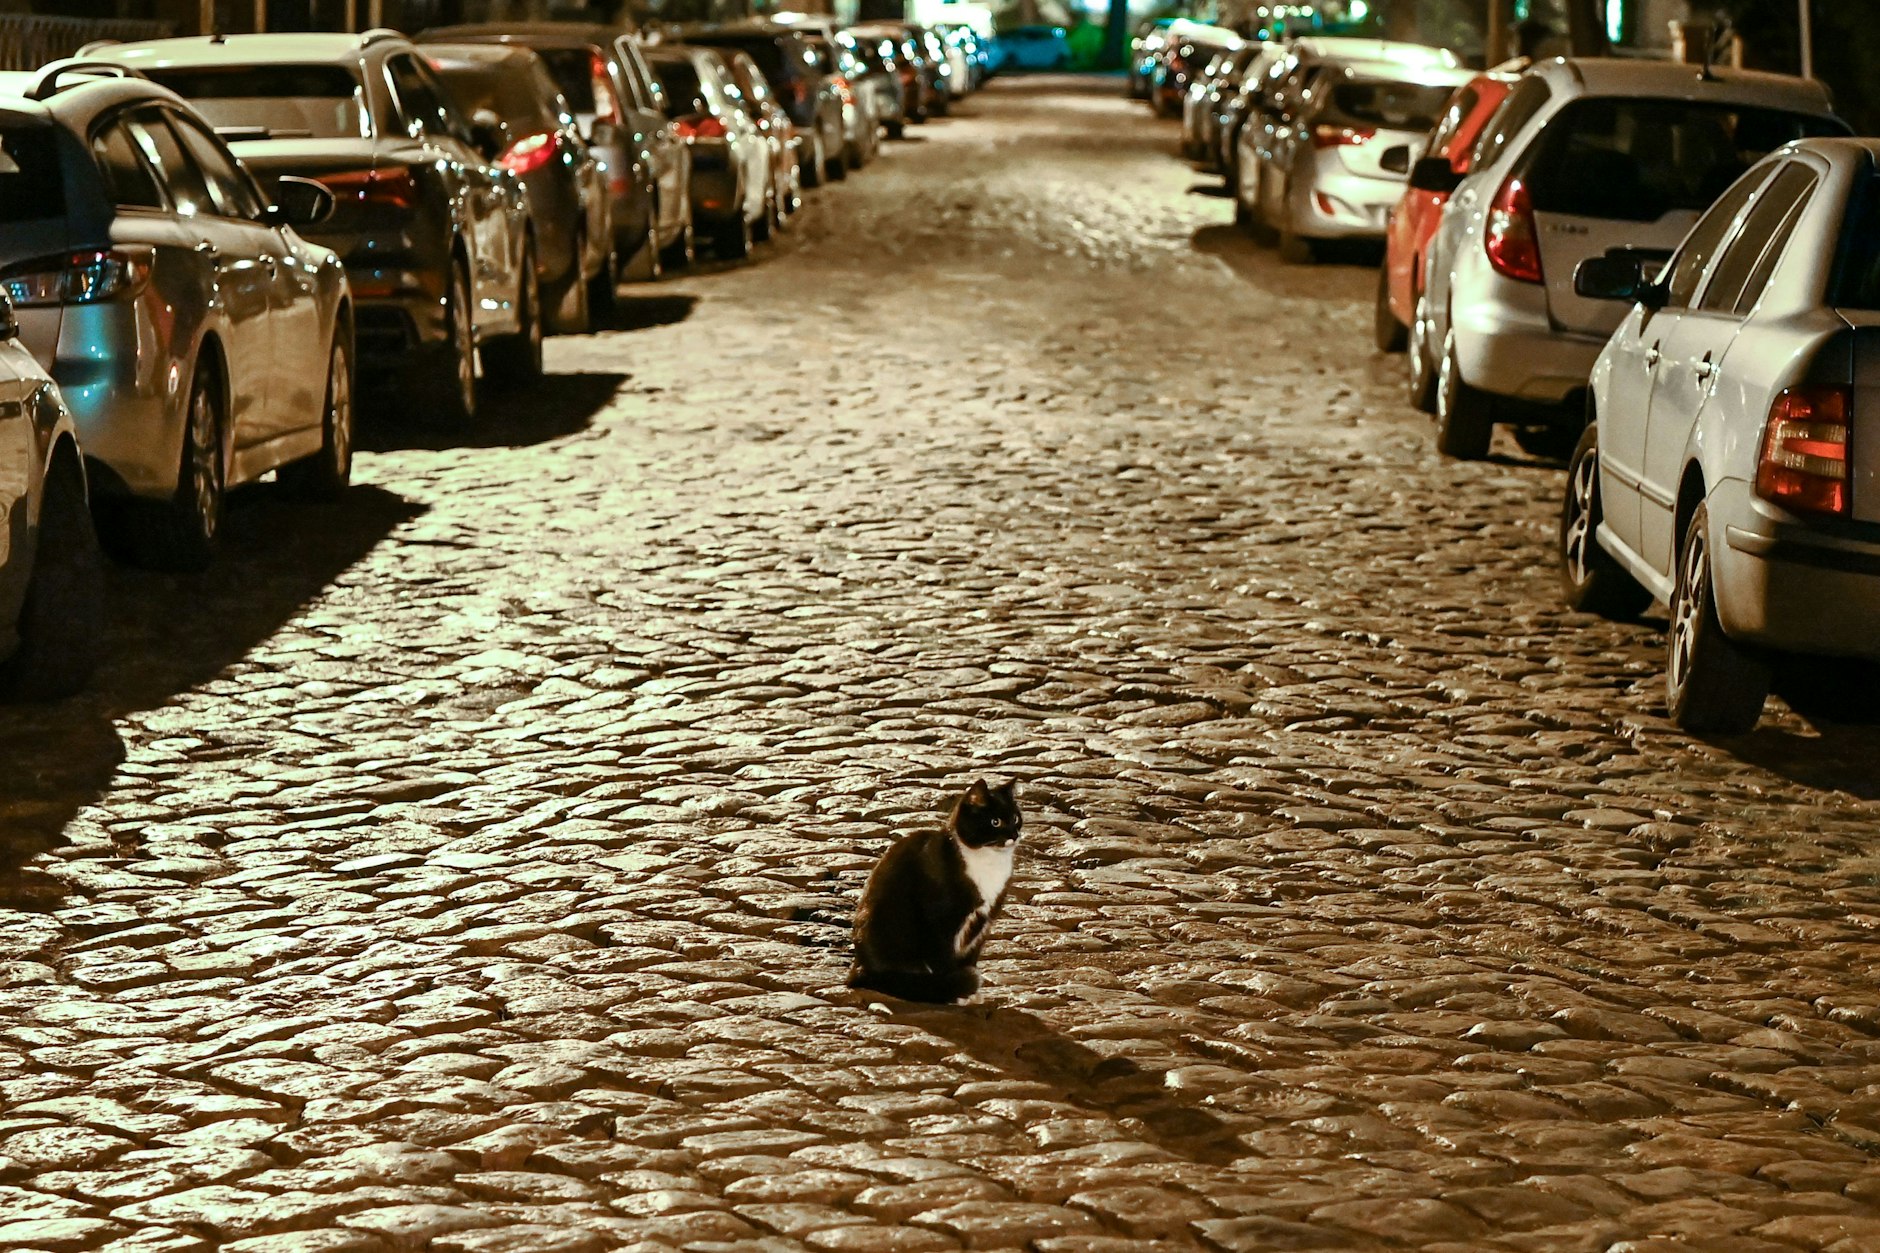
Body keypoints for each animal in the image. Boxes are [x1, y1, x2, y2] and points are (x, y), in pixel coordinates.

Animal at [848, 779, 1022, 1003]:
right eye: (995, 822)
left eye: (1015, 818)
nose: (1014, 835)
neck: (989, 860)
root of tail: (859, 968)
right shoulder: (938, 920)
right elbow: (943, 960)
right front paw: (955, 991)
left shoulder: (984, 920)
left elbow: (971, 957)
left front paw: (970, 993)